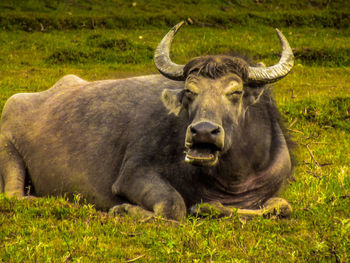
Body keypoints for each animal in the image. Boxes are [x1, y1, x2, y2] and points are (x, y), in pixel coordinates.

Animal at [0, 22, 294, 221]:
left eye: (235, 92)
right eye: (190, 91)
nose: (202, 132)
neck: (232, 177)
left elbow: (282, 206)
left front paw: (207, 207)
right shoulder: (132, 174)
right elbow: (173, 207)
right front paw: (123, 209)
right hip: (8, 151)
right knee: (15, 195)